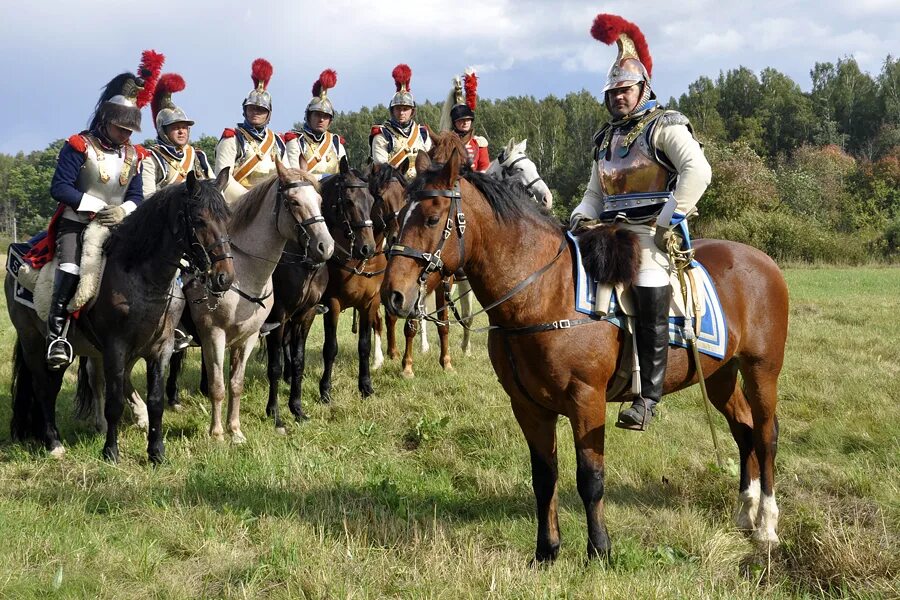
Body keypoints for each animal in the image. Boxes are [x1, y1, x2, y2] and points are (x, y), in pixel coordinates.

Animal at [6, 170, 236, 464]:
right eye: (199, 219)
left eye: (227, 217)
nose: (224, 277)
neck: (142, 277)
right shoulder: (116, 347)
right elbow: (114, 402)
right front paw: (111, 451)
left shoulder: (160, 348)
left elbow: (156, 401)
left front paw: (156, 452)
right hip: (33, 341)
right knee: (45, 387)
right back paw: (54, 442)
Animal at [186, 162, 334, 442]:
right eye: (294, 201)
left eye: (321, 201)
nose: (326, 247)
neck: (243, 273)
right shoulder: (216, 334)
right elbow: (222, 384)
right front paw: (220, 433)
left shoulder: (252, 335)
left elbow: (238, 383)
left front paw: (237, 430)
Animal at [384, 136, 792, 564]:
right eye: (398, 217)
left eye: (432, 219)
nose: (393, 295)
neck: (543, 292)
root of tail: (763, 261)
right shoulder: (528, 406)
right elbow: (544, 477)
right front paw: (546, 551)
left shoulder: (587, 401)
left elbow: (590, 478)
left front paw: (600, 549)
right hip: (720, 375)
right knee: (743, 429)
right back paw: (745, 512)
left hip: (762, 369)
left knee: (766, 434)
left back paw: (766, 525)